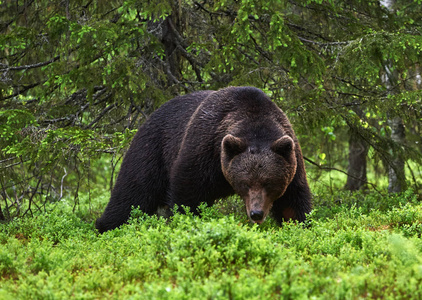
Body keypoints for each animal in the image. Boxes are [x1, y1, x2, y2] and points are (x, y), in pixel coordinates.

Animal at [96, 85, 314, 233]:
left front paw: (299, 226)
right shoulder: (205, 148)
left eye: (269, 183)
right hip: (152, 150)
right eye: (245, 183)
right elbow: (188, 193)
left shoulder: (291, 157)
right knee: (132, 194)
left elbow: (292, 202)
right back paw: (105, 226)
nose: (256, 213)